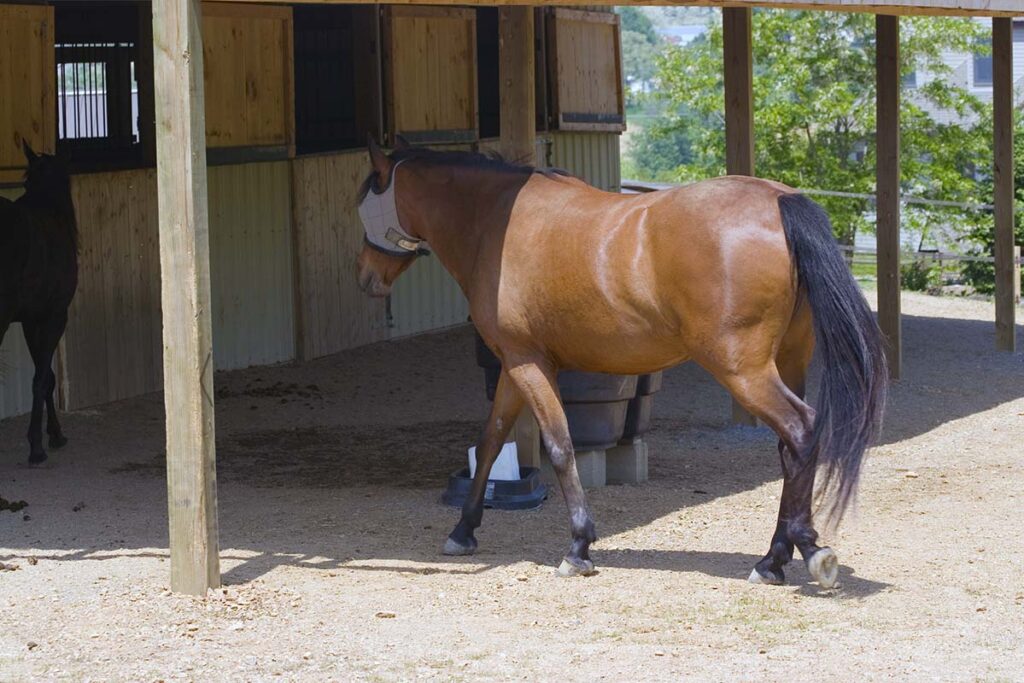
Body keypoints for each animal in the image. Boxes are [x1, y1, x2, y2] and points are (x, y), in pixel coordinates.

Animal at [355, 138, 886, 588]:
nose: (366, 278)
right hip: (787, 361)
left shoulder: (529, 364)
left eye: (364, 203)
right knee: (791, 450)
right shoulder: (513, 365)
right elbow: (489, 443)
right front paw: (463, 530)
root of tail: (780, 201)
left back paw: (803, 550)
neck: (497, 222)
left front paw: (578, 548)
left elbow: (560, 446)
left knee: (802, 430)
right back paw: (776, 557)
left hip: (744, 372)